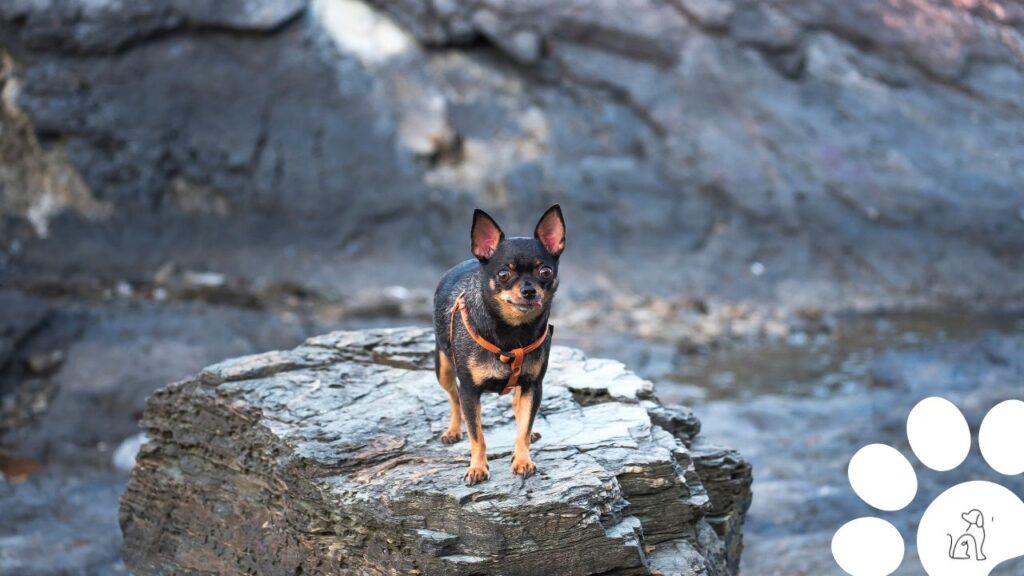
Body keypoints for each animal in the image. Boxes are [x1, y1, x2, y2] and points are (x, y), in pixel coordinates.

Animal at [430, 203, 565, 481]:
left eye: (545, 272)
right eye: (503, 274)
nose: (529, 290)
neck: (513, 330)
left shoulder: (533, 385)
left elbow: (524, 426)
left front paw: (523, 459)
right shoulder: (470, 391)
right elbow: (477, 435)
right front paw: (477, 467)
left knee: (518, 406)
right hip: (444, 368)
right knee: (453, 398)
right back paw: (453, 430)